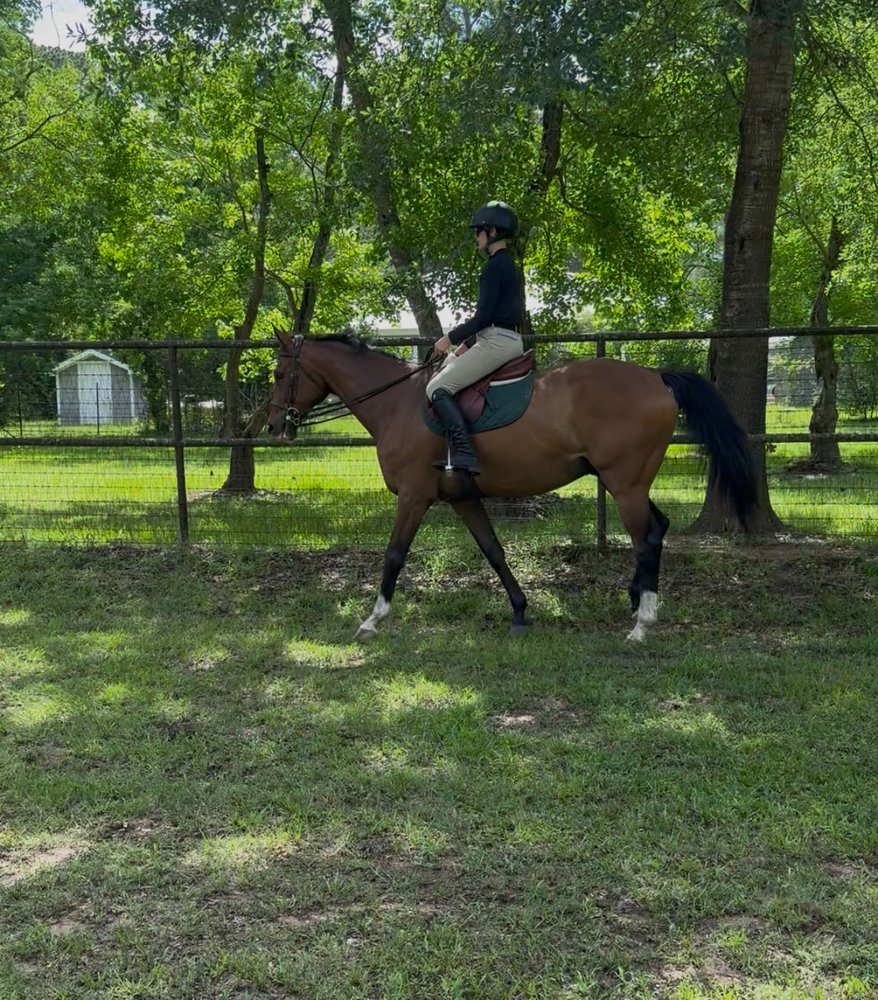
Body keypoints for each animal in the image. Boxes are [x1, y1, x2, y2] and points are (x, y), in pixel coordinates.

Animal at [267, 331, 757, 641]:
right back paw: (636, 602)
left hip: (625, 485)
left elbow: (394, 555)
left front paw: (372, 620)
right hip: (627, 483)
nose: (273, 426)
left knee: (648, 537)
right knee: (660, 527)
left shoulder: (414, 496)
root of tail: (655, 376)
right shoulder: (463, 499)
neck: (396, 404)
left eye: (278, 375)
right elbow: (494, 552)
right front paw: (520, 611)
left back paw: (642, 623)